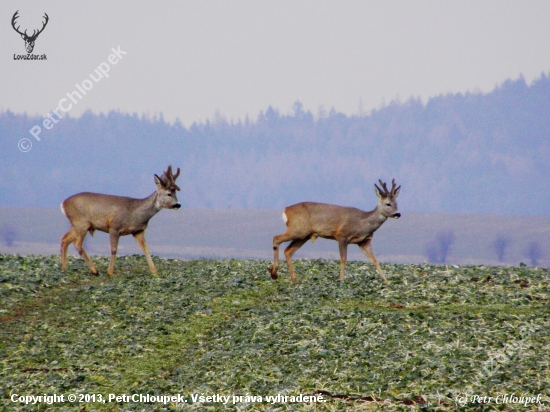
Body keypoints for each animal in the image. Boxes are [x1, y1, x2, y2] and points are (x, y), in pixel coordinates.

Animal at [270, 179, 404, 284]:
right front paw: (341, 279)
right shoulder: (342, 235)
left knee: (288, 251)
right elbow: (343, 258)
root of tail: (285, 211)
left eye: (397, 203)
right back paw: (274, 273)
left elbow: (375, 260)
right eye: (388, 204)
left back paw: (293, 279)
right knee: (276, 238)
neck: (362, 223)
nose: (398, 214)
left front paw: (387, 282)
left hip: (304, 235)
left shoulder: (364, 241)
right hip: (298, 230)